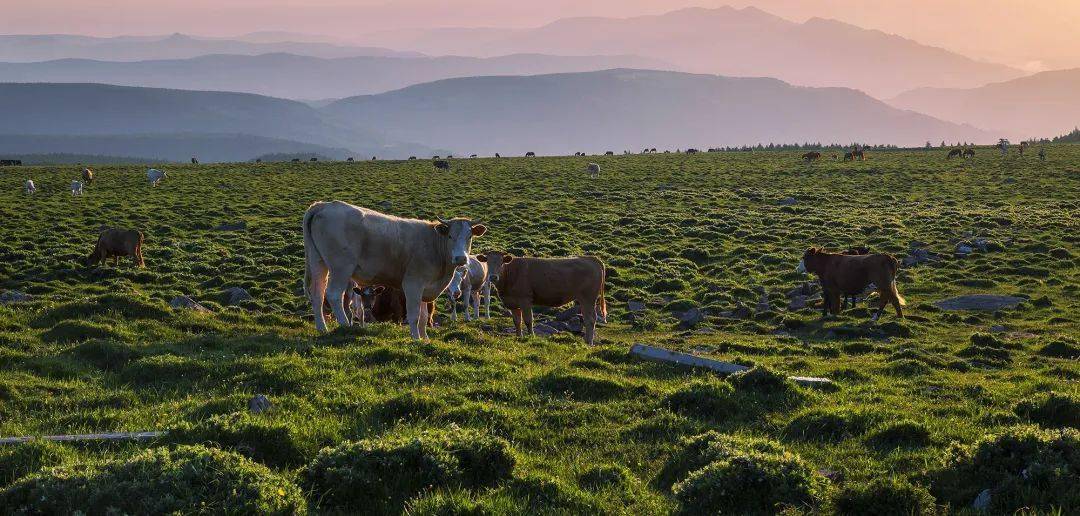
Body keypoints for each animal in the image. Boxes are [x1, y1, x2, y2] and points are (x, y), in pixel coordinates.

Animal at [306, 202, 488, 343]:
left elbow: (423, 317)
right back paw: (345, 325)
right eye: (450, 236)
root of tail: (324, 205)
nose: (460, 258)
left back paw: (322, 328)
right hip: (341, 268)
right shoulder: (413, 284)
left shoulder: (425, 287)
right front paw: (416, 339)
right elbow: (414, 315)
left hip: (318, 263)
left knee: (317, 294)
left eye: (470, 236)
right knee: (333, 294)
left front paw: (425, 339)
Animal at [475, 251, 609, 345]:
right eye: (487, 262)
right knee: (589, 319)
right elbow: (517, 321)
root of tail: (590, 258)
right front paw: (518, 337)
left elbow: (528, 320)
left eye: (501, 262)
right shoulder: (513, 303)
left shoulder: (525, 300)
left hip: (588, 298)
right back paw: (587, 340)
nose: (493, 277)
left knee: (590, 319)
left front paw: (531, 337)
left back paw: (589, 343)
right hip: (585, 299)